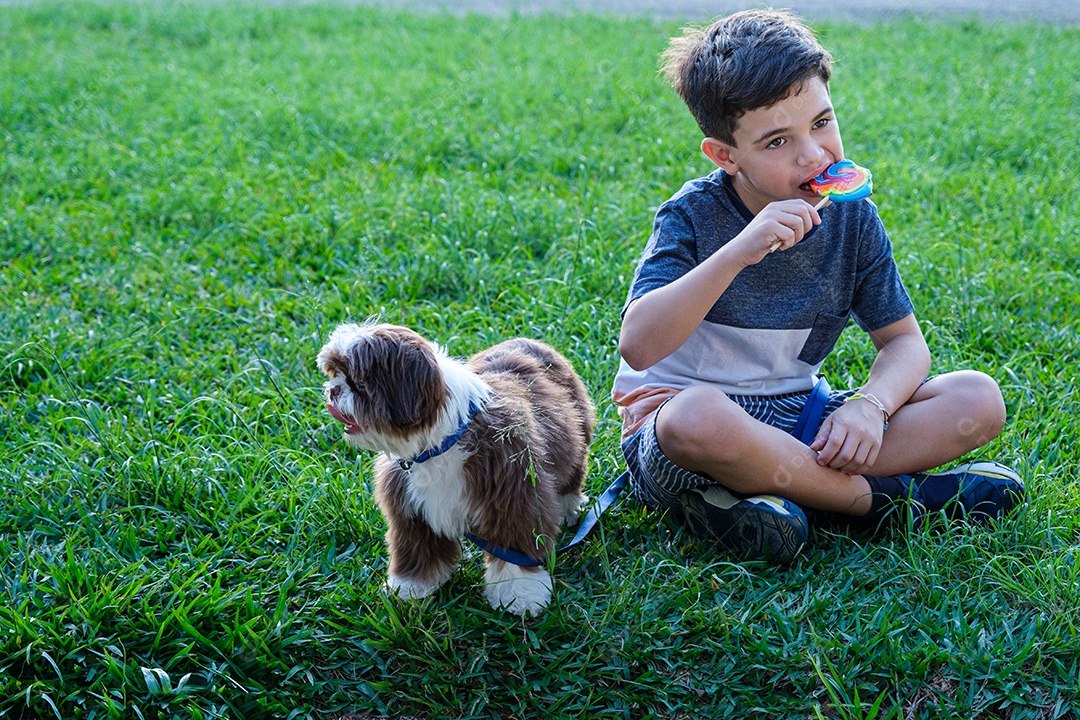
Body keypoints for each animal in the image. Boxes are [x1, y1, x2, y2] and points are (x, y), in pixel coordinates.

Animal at [315, 323, 596, 617]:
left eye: (359, 385)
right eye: (336, 375)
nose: (334, 390)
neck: (439, 444)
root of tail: (532, 341)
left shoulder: (514, 495)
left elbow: (515, 550)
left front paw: (519, 596)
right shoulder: (410, 510)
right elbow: (416, 549)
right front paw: (410, 588)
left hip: (576, 437)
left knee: (571, 475)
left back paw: (567, 509)